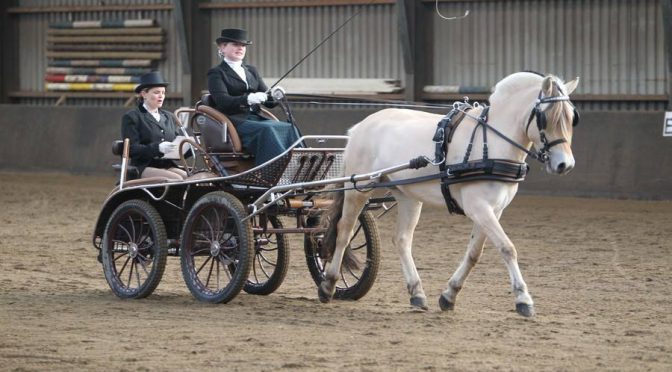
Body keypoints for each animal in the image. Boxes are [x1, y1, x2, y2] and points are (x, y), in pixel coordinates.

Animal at [318, 71, 576, 316]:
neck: (491, 143)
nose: (565, 165)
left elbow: (474, 253)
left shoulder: (493, 210)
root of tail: (359, 127)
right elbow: (507, 248)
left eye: (572, 118)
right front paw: (523, 299)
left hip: (408, 196)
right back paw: (328, 285)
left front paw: (449, 295)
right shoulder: (478, 207)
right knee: (344, 232)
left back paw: (417, 293)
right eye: (546, 117)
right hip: (358, 188)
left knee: (401, 239)